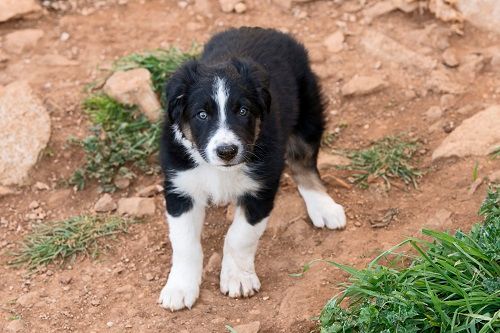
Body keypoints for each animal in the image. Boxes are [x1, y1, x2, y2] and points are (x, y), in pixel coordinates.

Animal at [158, 27, 346, 310]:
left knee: (304, 163)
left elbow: (240, 236)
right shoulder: (180, 186)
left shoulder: (261, 187)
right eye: (202, 114)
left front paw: (238, 279)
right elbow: (185, 243)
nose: (226, 151)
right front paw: (179, 288)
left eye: (243, 111)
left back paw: (323, 207)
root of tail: (264, 29)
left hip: (308, 110)